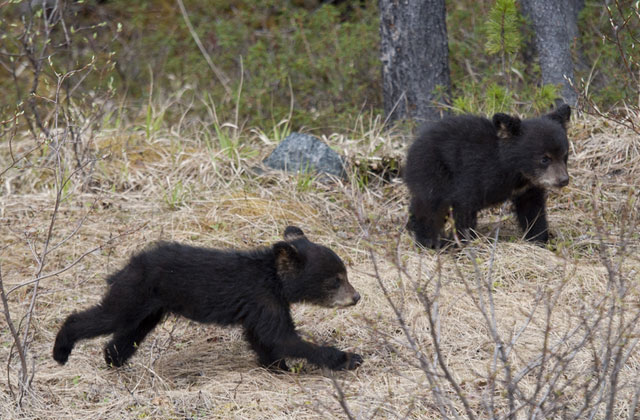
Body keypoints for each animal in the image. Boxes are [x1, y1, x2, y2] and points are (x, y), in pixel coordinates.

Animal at [53, 226, 363, 372]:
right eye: (335, 280)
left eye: (345, 274)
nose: (357, 296)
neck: (275, 279)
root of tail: (127, 266)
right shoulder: (264, 299)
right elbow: (283, 338)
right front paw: (348, 357)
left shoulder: (261, 307)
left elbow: (262, 339)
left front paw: (278, 367)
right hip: (134, 293)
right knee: (105, 316)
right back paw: (61, 351)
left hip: (151, 308)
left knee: (130, 333)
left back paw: (113, 359)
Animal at [403, 105, 571, 248]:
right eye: (545, 158)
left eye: (564, 155)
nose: (563, 180)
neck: (515, 171)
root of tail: (412, 148)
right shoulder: (475, 174)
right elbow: (464, 207)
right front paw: (463, 243)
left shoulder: (528, 189)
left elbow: (533, 211)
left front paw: (539, 240)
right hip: (433, 172)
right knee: (430, 207)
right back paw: (428, 241)